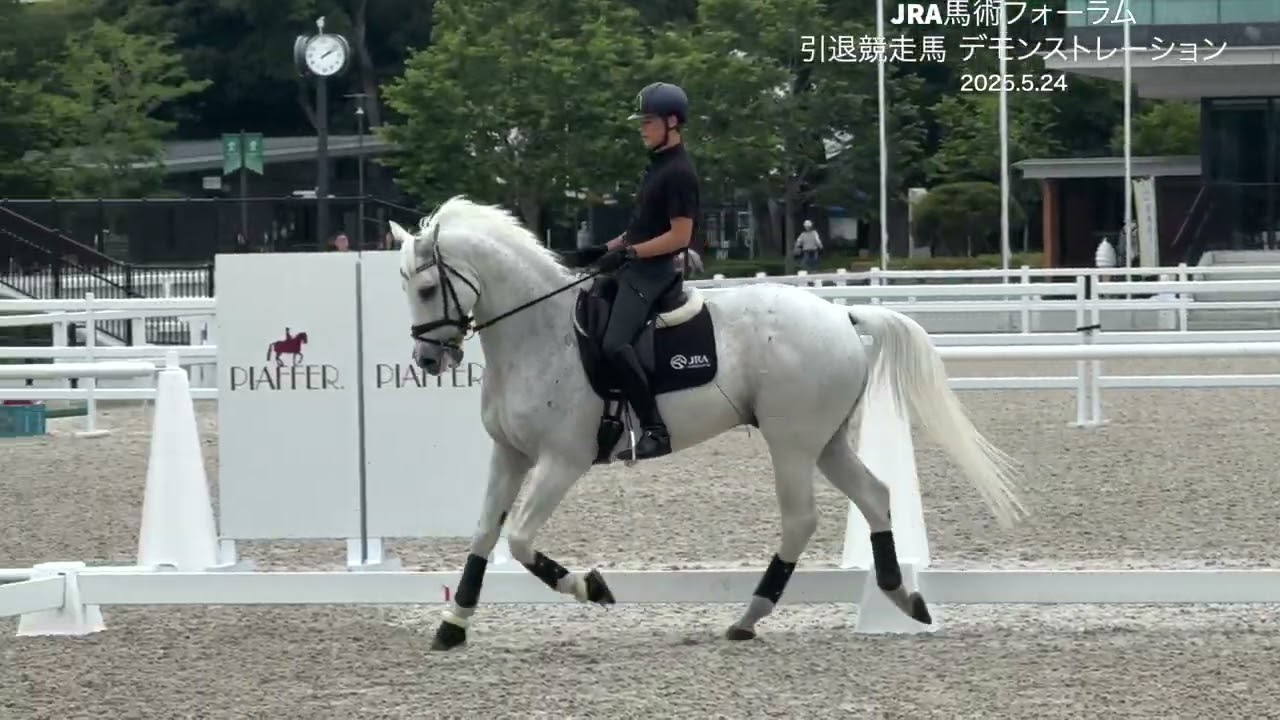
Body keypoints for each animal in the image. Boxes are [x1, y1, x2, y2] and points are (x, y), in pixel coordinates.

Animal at [391, 196, 1025, 651]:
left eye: (427, 287)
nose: (428, 360)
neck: (540, 334)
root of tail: (841, 315)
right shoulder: (511, 453)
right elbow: (483, 535)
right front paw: (452, 624)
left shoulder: (562, 461)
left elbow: (520, 539)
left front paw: (592, 587)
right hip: (824, 442)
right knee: (874, 495)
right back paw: (900, 596)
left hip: (791, 442)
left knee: (801, 519)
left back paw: (750, 615)